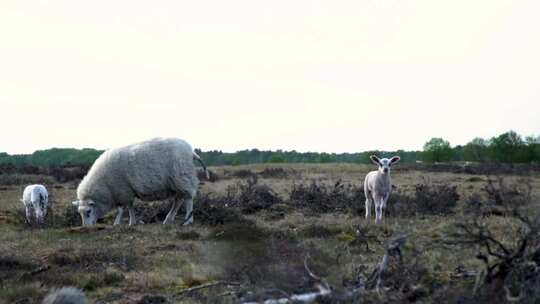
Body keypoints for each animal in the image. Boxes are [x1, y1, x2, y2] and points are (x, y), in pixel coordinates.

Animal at [70, 138, 209, 226]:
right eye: (79, 213)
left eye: (88, 212)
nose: (86, 228)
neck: (104, 184)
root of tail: (191, 151)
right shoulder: (121, 191)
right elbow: (125, 207)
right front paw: (123, 222)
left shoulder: (123, 190)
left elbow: (125, 208)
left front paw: (128, 222)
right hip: (176, 182)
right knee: (178, 200)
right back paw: (168, 219)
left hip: (182, 176)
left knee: (188, 199)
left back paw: (188, 221)